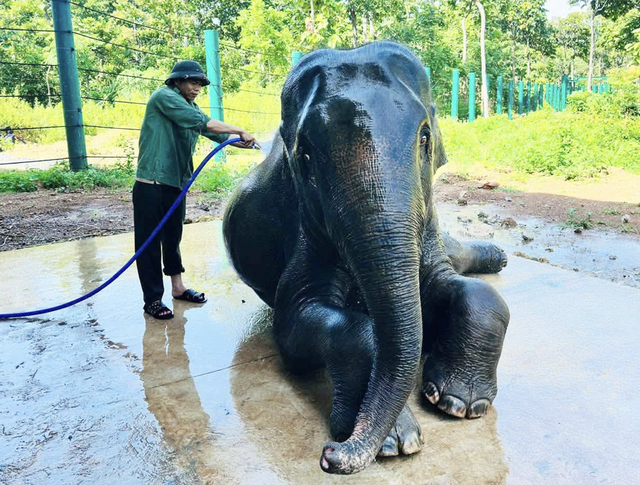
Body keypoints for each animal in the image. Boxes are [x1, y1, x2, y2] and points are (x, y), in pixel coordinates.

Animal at [222, 41, 510, 475]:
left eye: (425, 137)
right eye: (305, 155)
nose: (330, 454)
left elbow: (465, 290)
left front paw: (459, 402)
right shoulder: (304, 227)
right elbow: (298, 322)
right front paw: (396, 442)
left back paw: (499, 256)